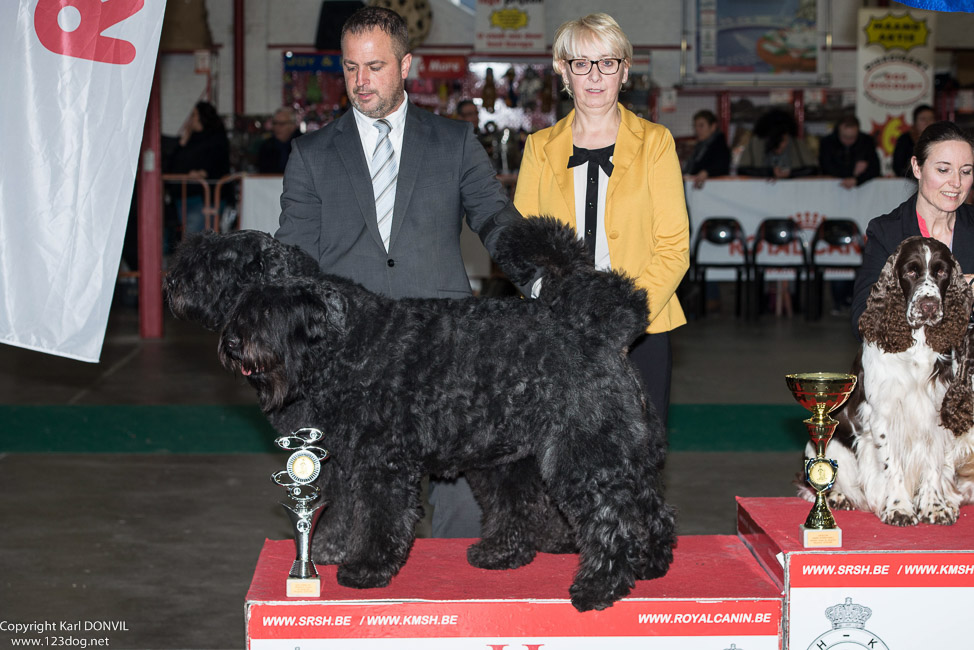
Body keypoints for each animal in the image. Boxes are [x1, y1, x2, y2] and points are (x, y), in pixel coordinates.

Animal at [212, 216, 680, 608]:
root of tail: (605, 332)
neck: (352, 343)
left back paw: (599, 585)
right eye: (242, 303)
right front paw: (330, 549)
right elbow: (346, 507)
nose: (232, 342)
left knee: (611, 518)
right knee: (645, 507)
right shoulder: (346, 458)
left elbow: (379, 515)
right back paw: (640, 563)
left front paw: (366, 567)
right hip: (601, 453)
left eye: (270, 310)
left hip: (584, 457)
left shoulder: (381, 461)